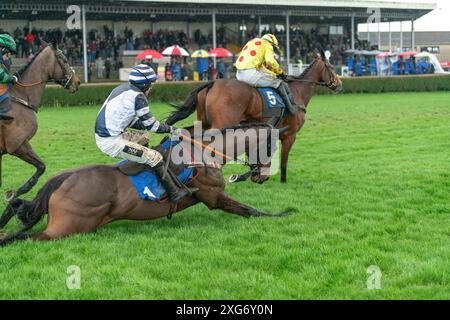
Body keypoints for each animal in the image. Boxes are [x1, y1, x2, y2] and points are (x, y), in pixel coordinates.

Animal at [0, 41, 81, 201]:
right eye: (64, 60)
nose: (78, 82)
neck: (21, 98)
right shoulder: (17, 145)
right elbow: (41, 167)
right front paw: (16, 193)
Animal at [0, 124, 292, 246]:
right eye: (271, 146)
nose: (261, 175)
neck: (204, 153)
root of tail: (63, 178)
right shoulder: (214, 196)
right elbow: (249, 210)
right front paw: (285, 213)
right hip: (68, 228)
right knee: (25, 238)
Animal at [167, 49, 342, 184]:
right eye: (332, 67)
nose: (339, 84)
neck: (297, 93)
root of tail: (213, 83)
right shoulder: (290, 136)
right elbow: (284, 162)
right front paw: (283, 181)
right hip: (220, 125)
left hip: (203, 122)